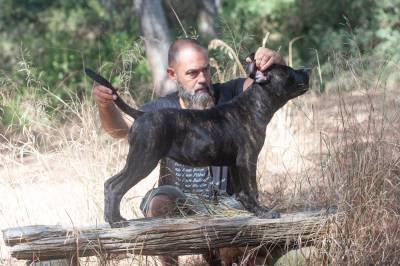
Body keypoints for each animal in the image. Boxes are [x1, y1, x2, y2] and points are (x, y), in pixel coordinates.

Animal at [85, 62, 310, 227]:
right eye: (288, 72)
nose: (306, 70)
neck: (255, 104)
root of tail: (142, 115)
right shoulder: (248, 159)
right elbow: (252, 188)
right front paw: (263, 212)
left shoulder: (236, 163)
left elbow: (242, 192)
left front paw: (251, 210)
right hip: (143, 159)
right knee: (115, 186)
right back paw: (115, 221)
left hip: (138, 160)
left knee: (110, 183)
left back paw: (112, 219)